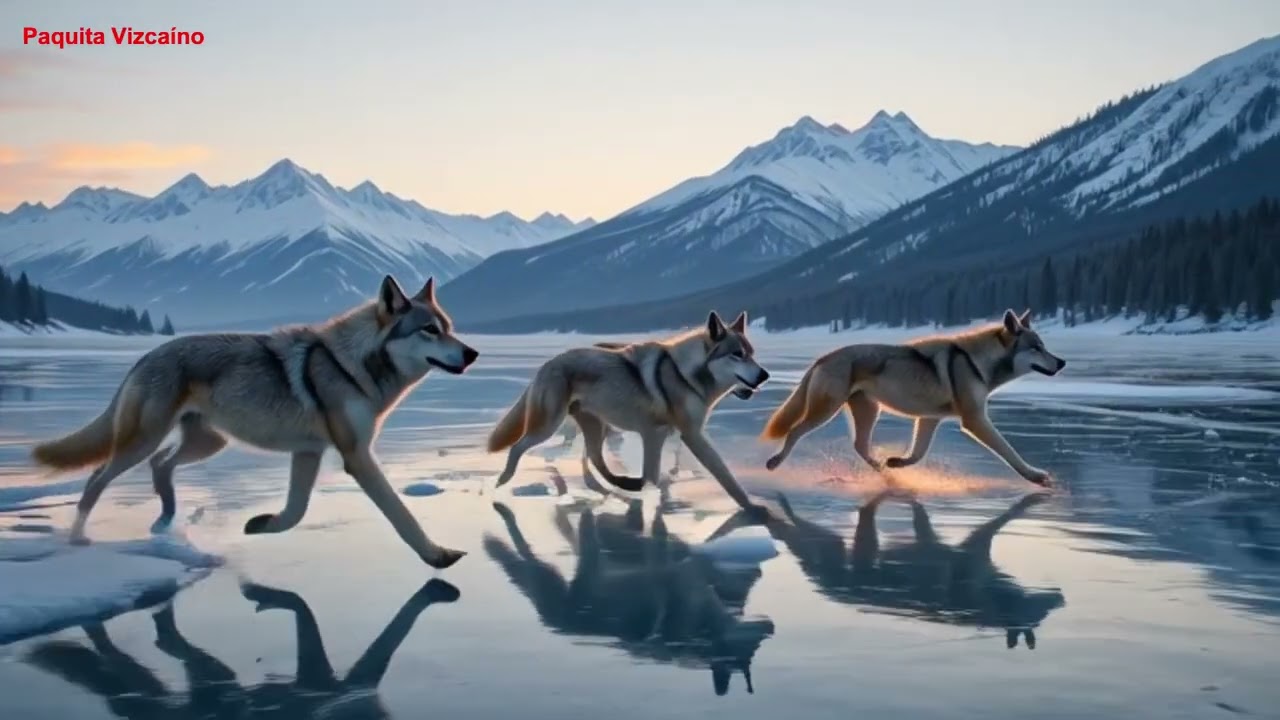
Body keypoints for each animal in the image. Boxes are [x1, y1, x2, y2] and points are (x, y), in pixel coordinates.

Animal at [28, 275, 477, 569]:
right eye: (429, 330)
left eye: (450, 328)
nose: (472, 353)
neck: (352, 366)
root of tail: (145, 355)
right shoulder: (356, 457)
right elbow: (401, 514)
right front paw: (437, 556)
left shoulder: (308, 453)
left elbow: (295, 512)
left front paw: (261, 524)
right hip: (143, 441)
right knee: (97, 476)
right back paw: (79, 538)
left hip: (208, 444)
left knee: (161, 465)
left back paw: (166, 519)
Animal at [487, 311, 772, 515]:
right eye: (737, 354)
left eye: (752, 354)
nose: (765, 375)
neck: (685, 375)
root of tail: (546, 363)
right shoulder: (682, 435)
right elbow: (724, 476)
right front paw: (753, 507)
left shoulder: (665, 435)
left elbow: (658, 475)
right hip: (550, 426)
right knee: (518, 447)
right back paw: (501, 481)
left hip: (597, 427)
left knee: (594, 461)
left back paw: (620, 486)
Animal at [759, 309, 1066, 486]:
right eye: (1037, 348)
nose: (1062, 362)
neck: (976, 362)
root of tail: (821, 358)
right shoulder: (975, 420)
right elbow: (1009, 452)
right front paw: (1036, 476)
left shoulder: (929, 419)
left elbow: (918, 454)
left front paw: (897, 462)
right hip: (826, 411)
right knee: (795, 431)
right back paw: (774, 462)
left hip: (869, 411)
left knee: (860, 445)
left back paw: (885, 471)